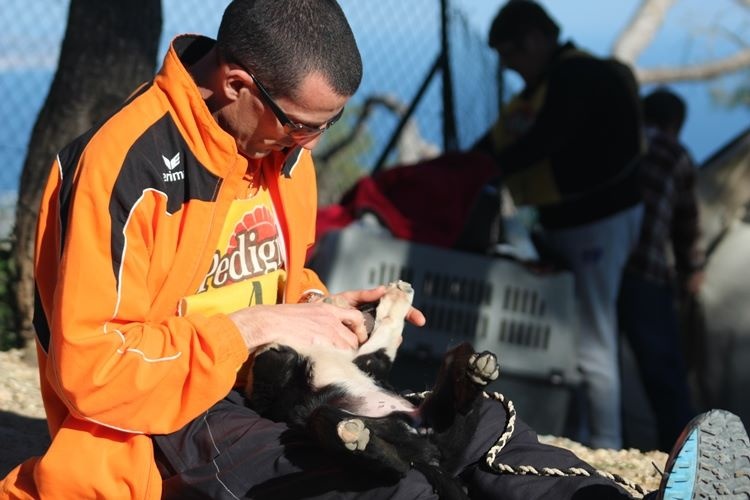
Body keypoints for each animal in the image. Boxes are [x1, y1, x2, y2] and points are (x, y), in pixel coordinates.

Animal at [247, 280, 502, 498]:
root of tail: (429, 456)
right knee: (397, 467)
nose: (366, 307)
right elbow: (271, 364)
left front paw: (397, 296)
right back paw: (357, 438)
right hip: (323, 418)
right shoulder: (271, 398)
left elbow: (387, 329)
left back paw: (475, 374)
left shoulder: (370, 362)